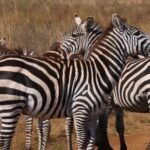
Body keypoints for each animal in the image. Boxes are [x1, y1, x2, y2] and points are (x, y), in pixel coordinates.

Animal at [0, 13, 149, 149]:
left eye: (74, 35)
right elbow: (89, 136)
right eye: (137, 33)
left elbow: (94, 136)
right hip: (10, 108)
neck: (98, 70)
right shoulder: (84, 110)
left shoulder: (95, 112)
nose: (53, 47)